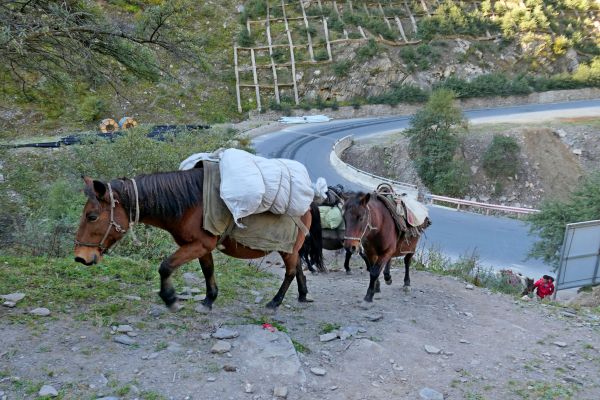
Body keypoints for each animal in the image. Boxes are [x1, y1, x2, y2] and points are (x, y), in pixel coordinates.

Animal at [74, 167, 324, 310]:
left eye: (92, 216)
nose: (79, 257)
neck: (190, 204)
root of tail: (310, 200)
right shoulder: (200, 247)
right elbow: (207, 271)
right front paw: (209, 300)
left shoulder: (198, 245)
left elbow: (165, 266)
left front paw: (170, 298)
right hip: (290, 247)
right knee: (298, 268)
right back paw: (302, 295)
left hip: (287, 247)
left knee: (290, 272)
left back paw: (275, 302)